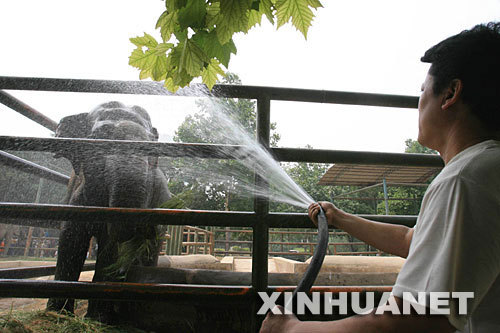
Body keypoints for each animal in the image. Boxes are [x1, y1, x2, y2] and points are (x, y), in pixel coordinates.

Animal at [47, 100, 172, 320]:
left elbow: (110, 247)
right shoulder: (77, 199)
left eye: (152, 145)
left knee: (149, 251)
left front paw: (97, 318)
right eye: (97, 138)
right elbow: (70, 240)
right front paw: (58, 314)